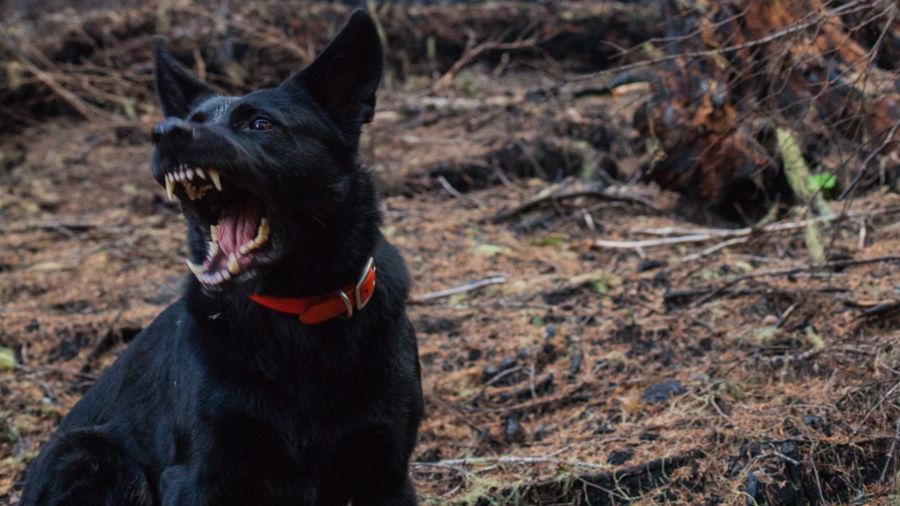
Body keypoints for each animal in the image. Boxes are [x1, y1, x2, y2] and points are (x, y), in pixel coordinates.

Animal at [22, 10, 424, 506]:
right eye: (190, 120)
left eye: (260, 125)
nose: (165, 133)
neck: (298, 315)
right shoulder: (199, 474)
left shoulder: (386, 474)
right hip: (94, 457)